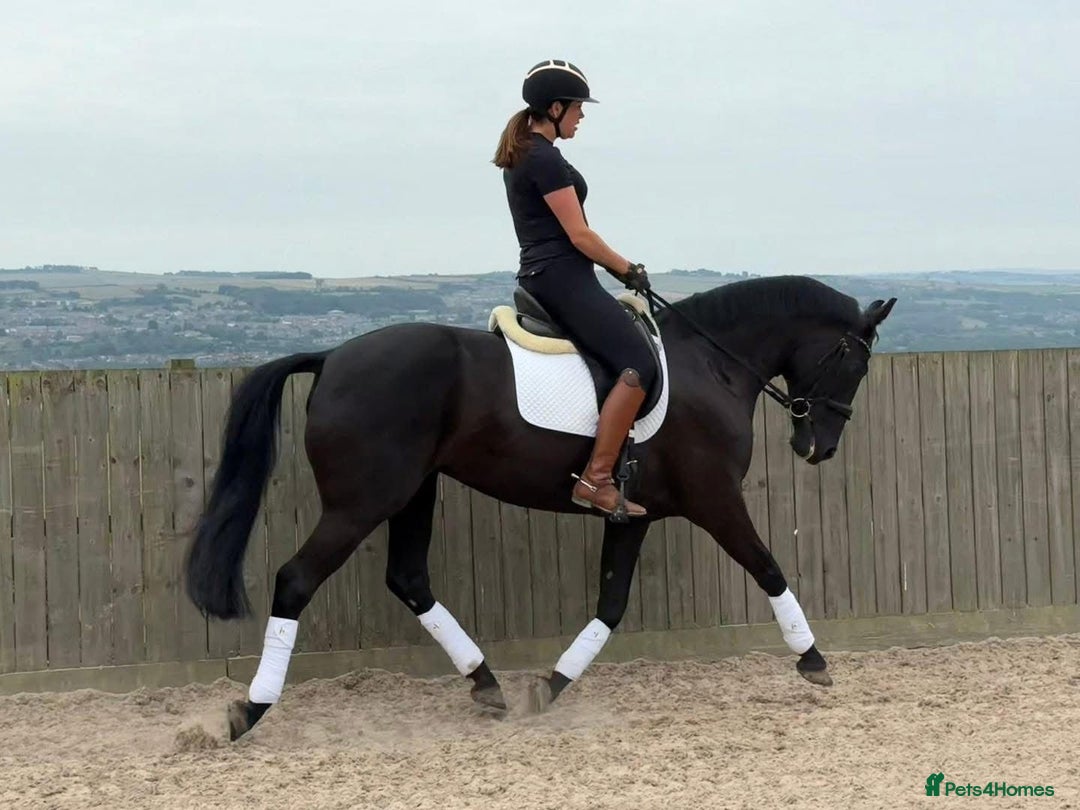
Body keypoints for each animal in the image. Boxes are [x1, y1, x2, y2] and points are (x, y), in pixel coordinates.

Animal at [184, 274, 896, 741]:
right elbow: (768, 567)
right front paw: (814, 661)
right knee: (296, 579)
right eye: (856, 364)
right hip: (363, 501)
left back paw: (487, 685)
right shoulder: (714, 498)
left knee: (408, 578)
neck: (708, 364)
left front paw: (548, 688)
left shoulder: (635, 514)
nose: (819, 447)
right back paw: (249, 710)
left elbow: (611, 605)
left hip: (414, 491)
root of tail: (332, 355)